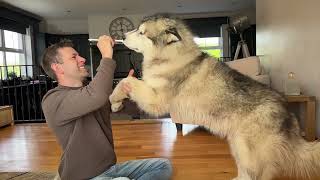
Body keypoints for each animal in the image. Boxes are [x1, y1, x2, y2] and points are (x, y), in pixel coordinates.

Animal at [110, 14, 320, 180]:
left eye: (142, 32)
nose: (121, 36)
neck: (172, 55)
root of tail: (287, 111)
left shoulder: (156, 100)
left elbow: (126, 81)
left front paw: (114, 100)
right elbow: (125, 82)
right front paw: (116, 103)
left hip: (248, 152)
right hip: (238, 146)